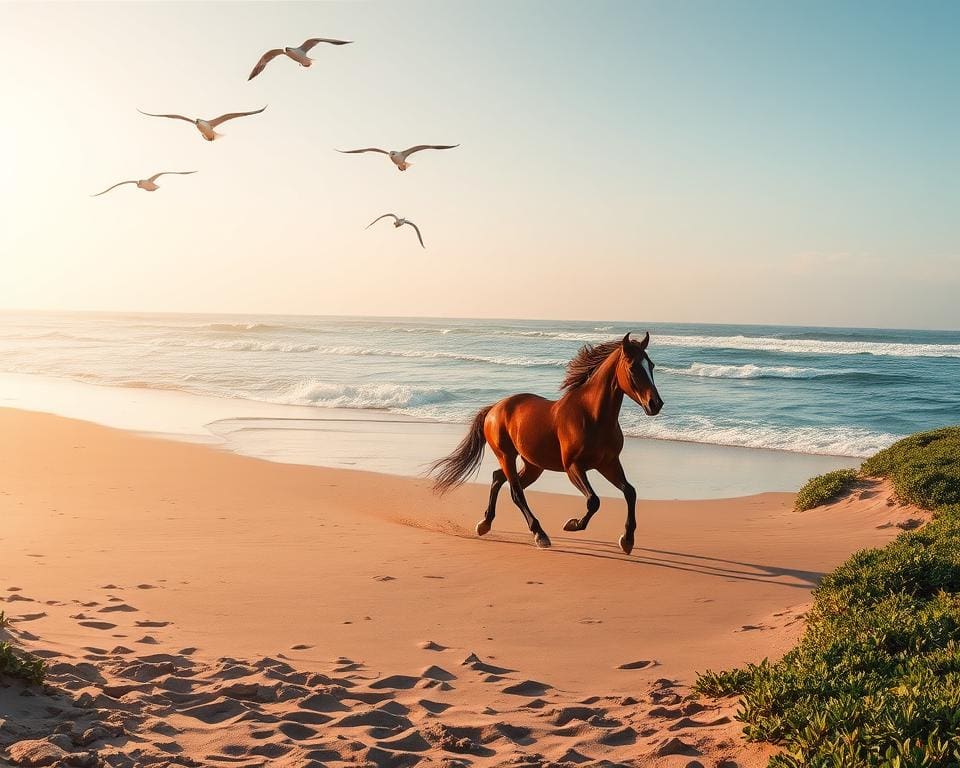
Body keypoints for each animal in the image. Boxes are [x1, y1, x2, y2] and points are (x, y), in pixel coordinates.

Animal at [432, 330, 664, 552]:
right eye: (633, 367)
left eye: (651, 365)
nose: (655, 404)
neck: (591, 416)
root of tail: (494, 408)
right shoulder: (573, 467)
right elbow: (593, 501)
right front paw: (572, 524)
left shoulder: (608, 463)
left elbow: (630, 492)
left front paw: (627, 540)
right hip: (506, 456)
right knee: (516, 492)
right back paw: (539, 534)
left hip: (533, 465)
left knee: (500, 479)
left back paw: (485, 524)